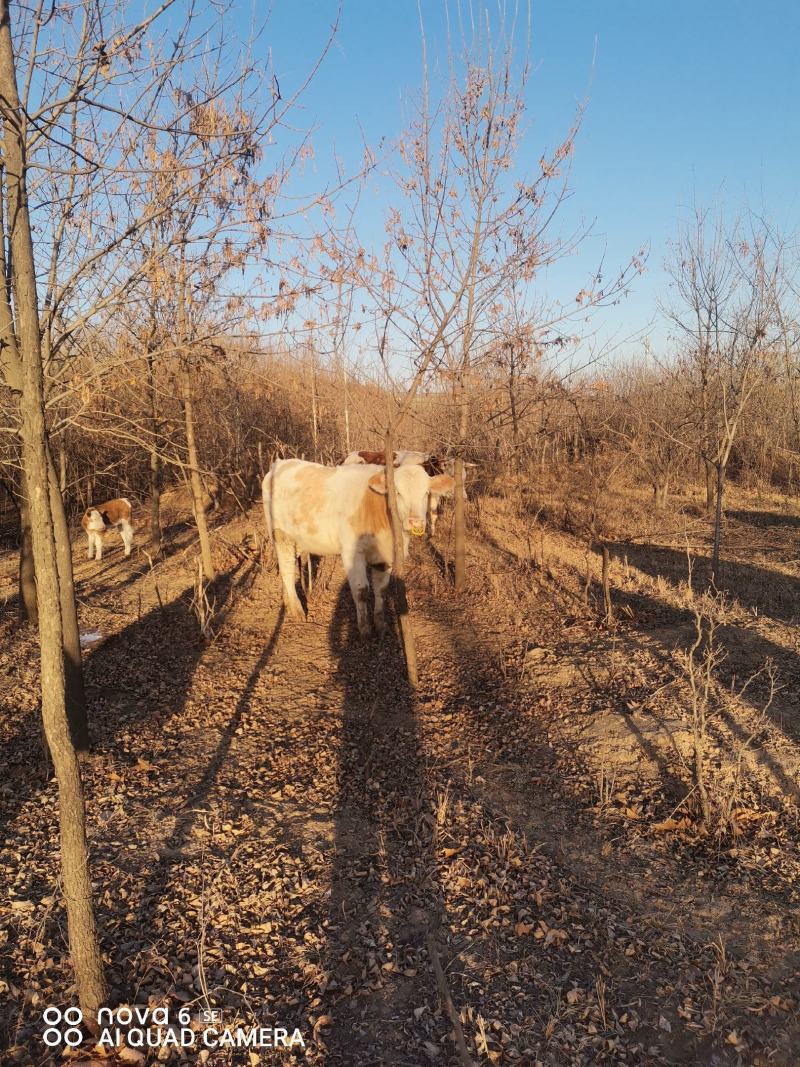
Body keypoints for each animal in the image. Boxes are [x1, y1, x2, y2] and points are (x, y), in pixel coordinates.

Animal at [261, 456, 452, 635]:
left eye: (426, 492)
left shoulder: (385, 555)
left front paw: (381, 626)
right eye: (397, 492)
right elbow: (361, 591)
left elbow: (381, 590)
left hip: (298, 538)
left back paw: (287, 602)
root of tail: (280, 463)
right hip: (280, 534)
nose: (416, 523)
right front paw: (365, 629)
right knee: (286, 569)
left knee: (289, 564)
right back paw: (297, 610)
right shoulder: (352, 551)